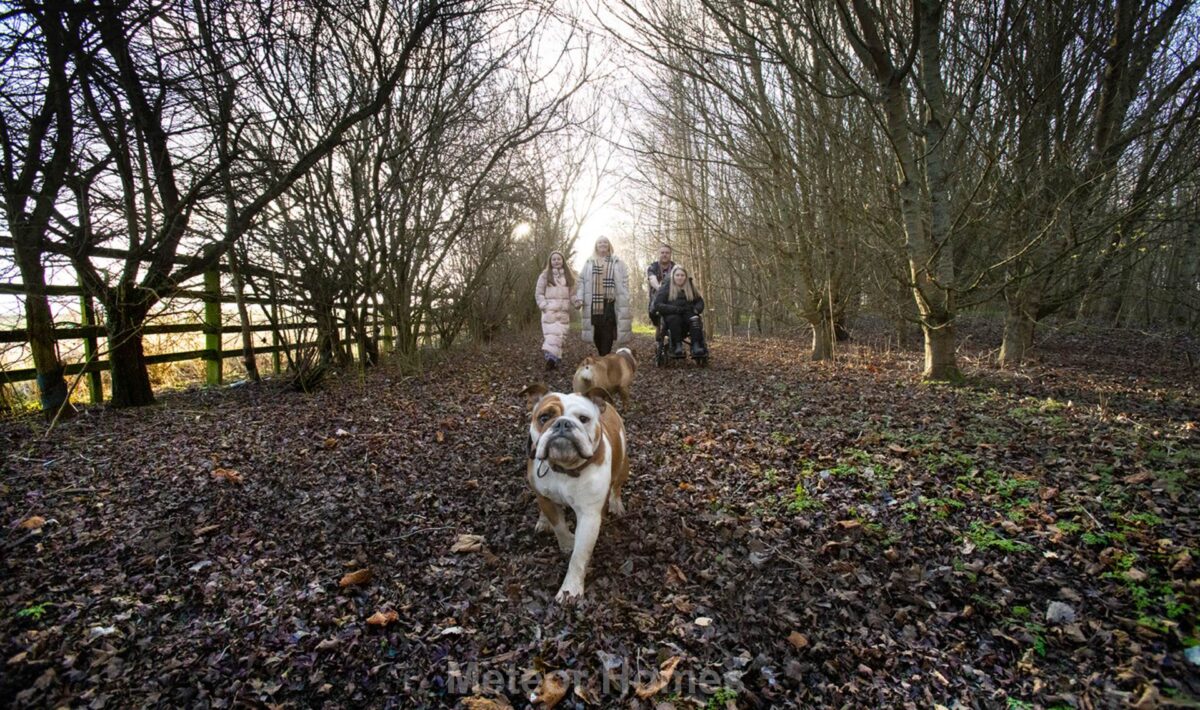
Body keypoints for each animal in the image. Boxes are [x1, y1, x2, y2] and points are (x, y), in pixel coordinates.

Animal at [520, 386, 633, 602]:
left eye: (583, 418)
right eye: (544, 417)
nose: (563, 423)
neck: (565, 468)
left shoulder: (589, 516)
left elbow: (579, 557)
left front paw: (570, 590)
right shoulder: (546, 498)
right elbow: (559, 526)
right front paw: (566, 544)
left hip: (623, 466)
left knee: (616, 487)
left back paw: (616, 504)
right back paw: (543, 521)